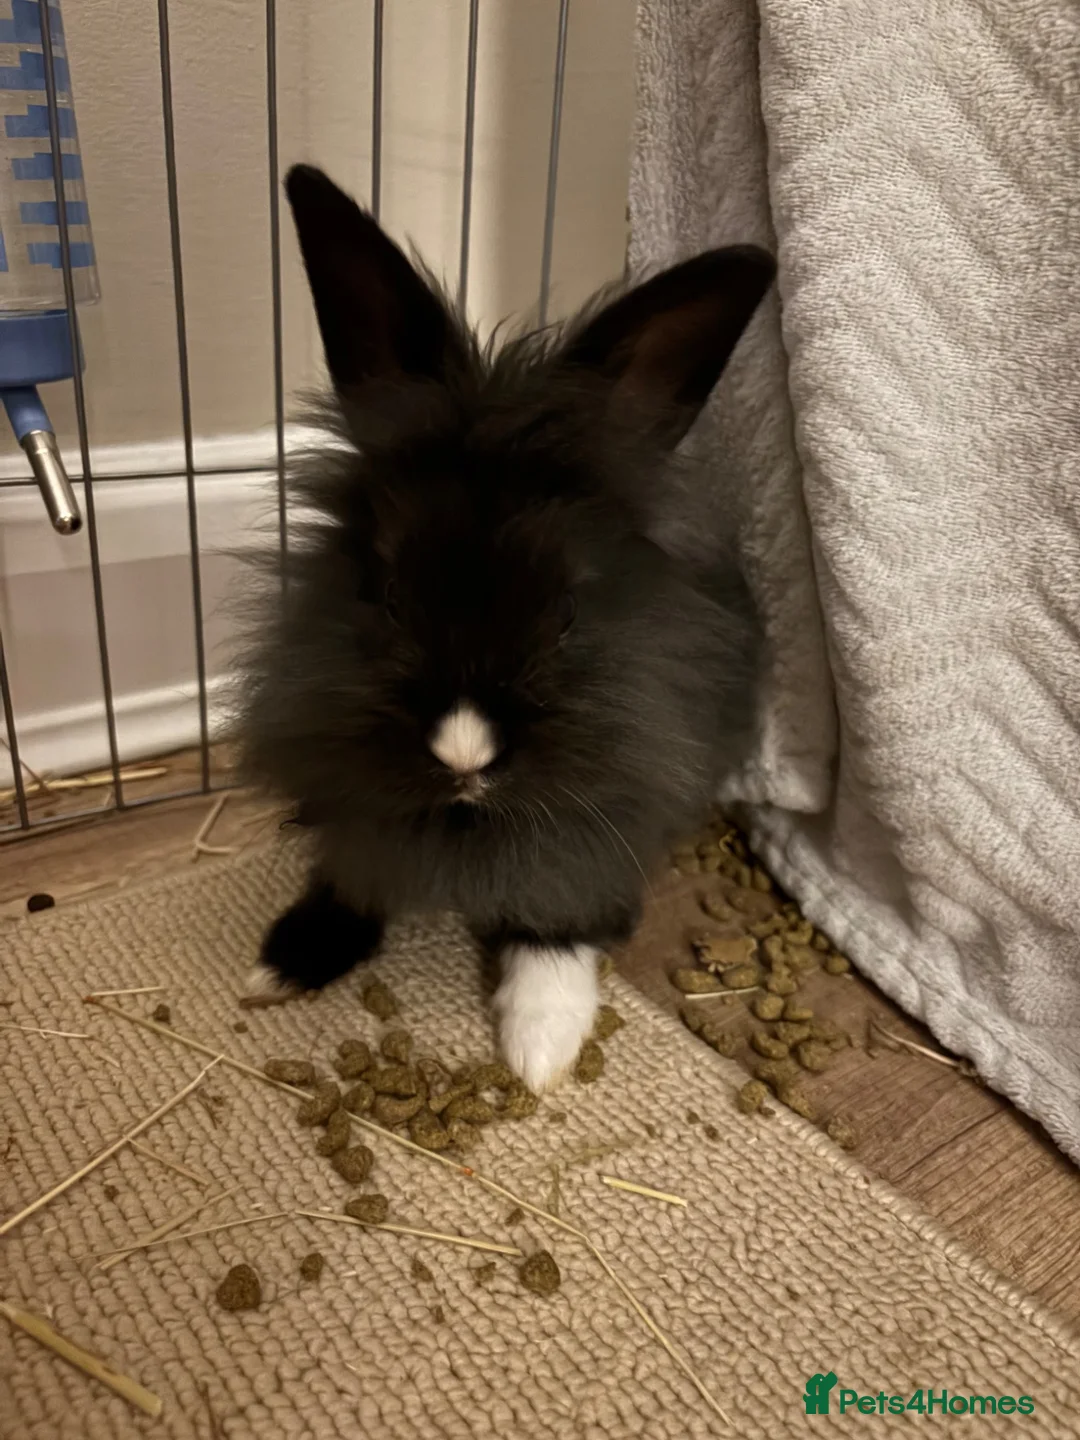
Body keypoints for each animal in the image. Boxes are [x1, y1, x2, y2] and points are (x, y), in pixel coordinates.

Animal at [235, 164, 774, 1093]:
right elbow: (353, 874)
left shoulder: (604, 819)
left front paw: (538, 1046)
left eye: (567, 612)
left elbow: (559, 913)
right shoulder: (355, 800)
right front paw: (284, 963)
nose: (463, 754)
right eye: (387, 592)